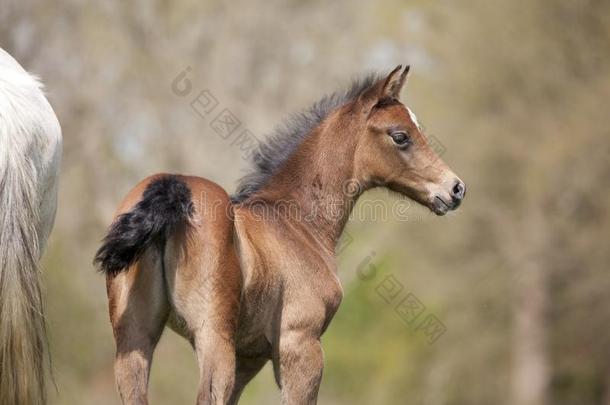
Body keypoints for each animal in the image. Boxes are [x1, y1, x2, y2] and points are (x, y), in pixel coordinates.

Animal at [95, 64, 464, 402]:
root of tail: (172, 187)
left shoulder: (249, 356)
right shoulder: (300, 345)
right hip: (212, 336)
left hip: (134, 337)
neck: (297, 223)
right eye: (400, 135)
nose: (456, 188)